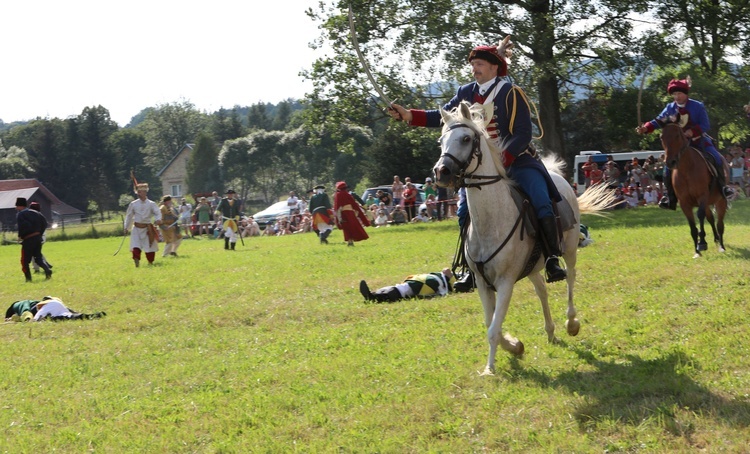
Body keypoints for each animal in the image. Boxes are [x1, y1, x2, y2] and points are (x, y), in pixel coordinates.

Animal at [432, 102, 612, 372]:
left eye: (466, 138)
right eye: (441, 140)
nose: (441, 171)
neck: (491, 220)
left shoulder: (505, 281)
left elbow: (493, 329)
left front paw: (490, 368)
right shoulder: (482, 282)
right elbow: (491, 324)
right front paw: (515, 346)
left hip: (569, 248)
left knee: (570, 277)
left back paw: (571, 323)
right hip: (534, 267)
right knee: (542, 291)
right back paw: (550, 331)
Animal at [664, 122, 728, 258]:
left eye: (678, 136)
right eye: (661, 137)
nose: (670, 162)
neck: (686, 169)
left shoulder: (702, 197)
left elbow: (700, 215)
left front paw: (702, 242)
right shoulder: (684, 203)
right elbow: (692, 226)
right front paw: (697, 251)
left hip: (720, 201)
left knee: (720, 224)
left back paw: (721, 245)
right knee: (711, 219)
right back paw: (715, 239)